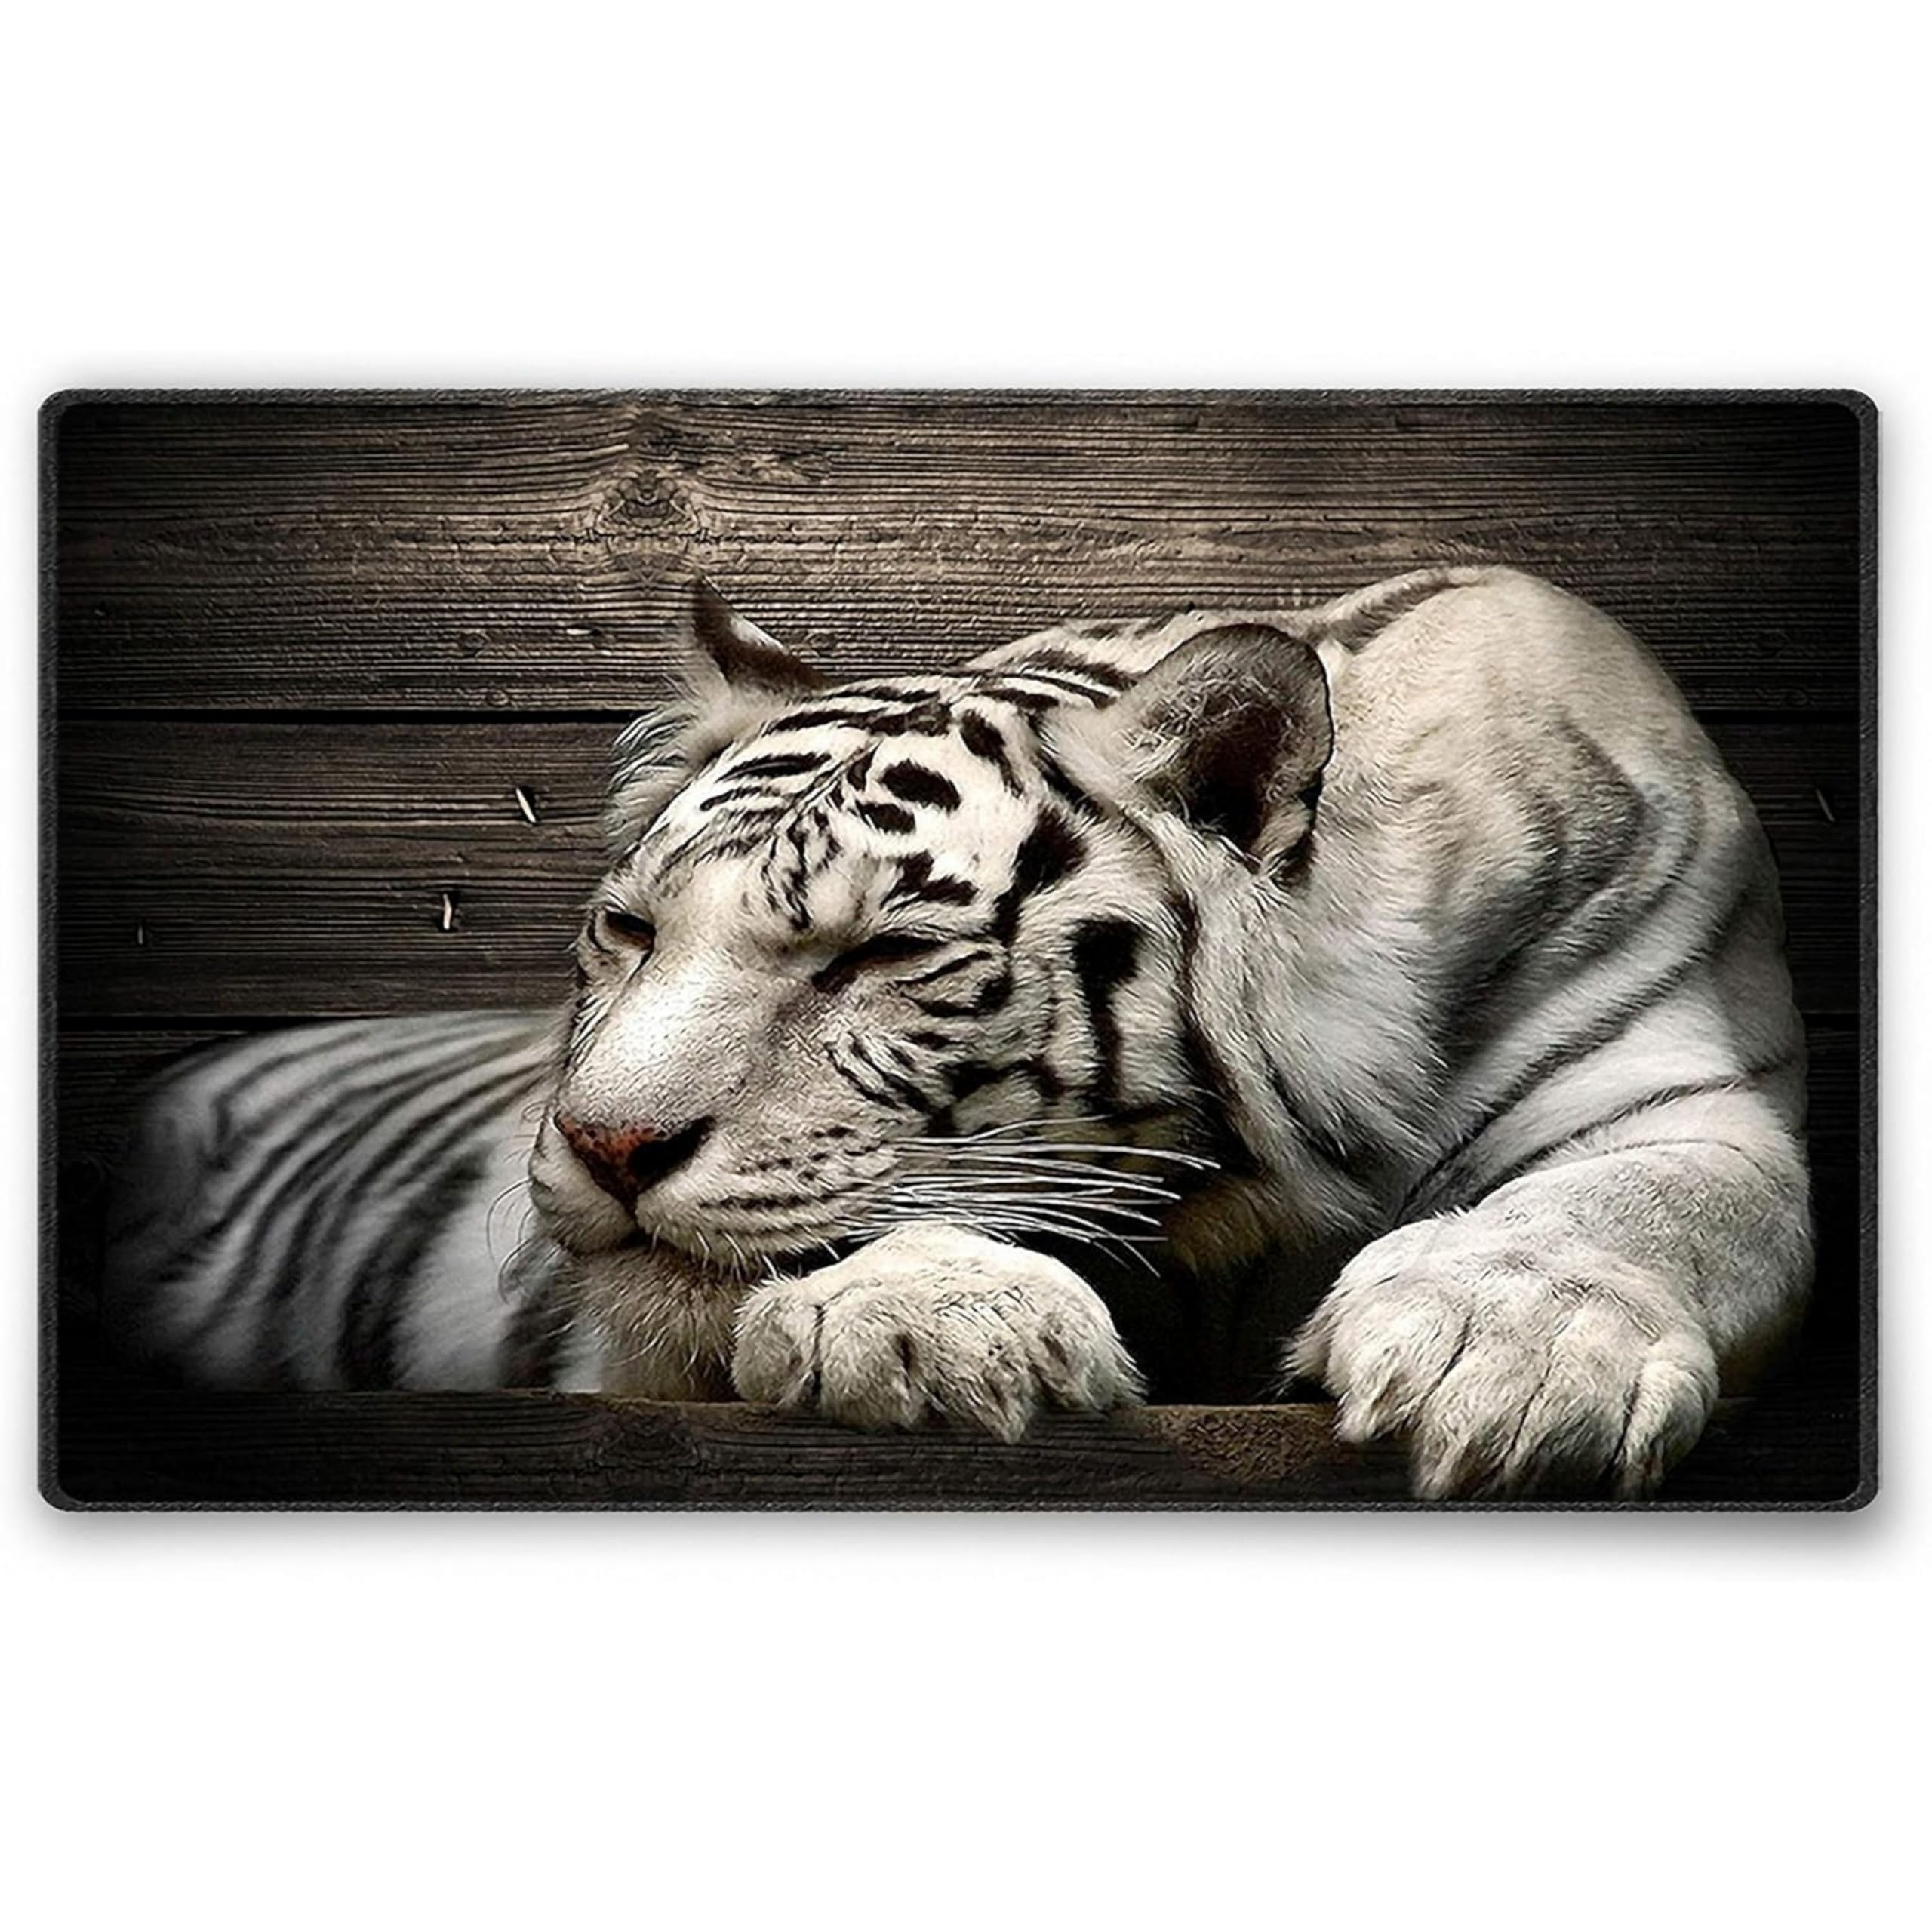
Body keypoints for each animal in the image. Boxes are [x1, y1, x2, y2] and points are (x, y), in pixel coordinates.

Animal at [98, 565, 1813, 1497]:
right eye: (633, 932)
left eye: (880, 954)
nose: (602, 1144)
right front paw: (931, 1319)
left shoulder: (1680, 1081)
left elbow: (1648, 1199)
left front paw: (1508, 1355)